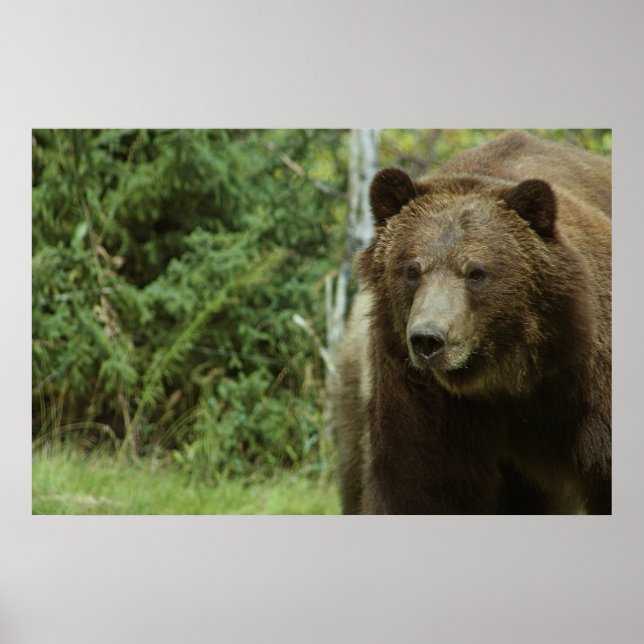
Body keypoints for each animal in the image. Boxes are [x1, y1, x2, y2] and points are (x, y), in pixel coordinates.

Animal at [332, 131, 611, 514]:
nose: (428, 339)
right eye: (412, 270)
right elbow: (423, 485)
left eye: (476, 272)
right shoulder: (424, 396)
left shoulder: (589, 386)